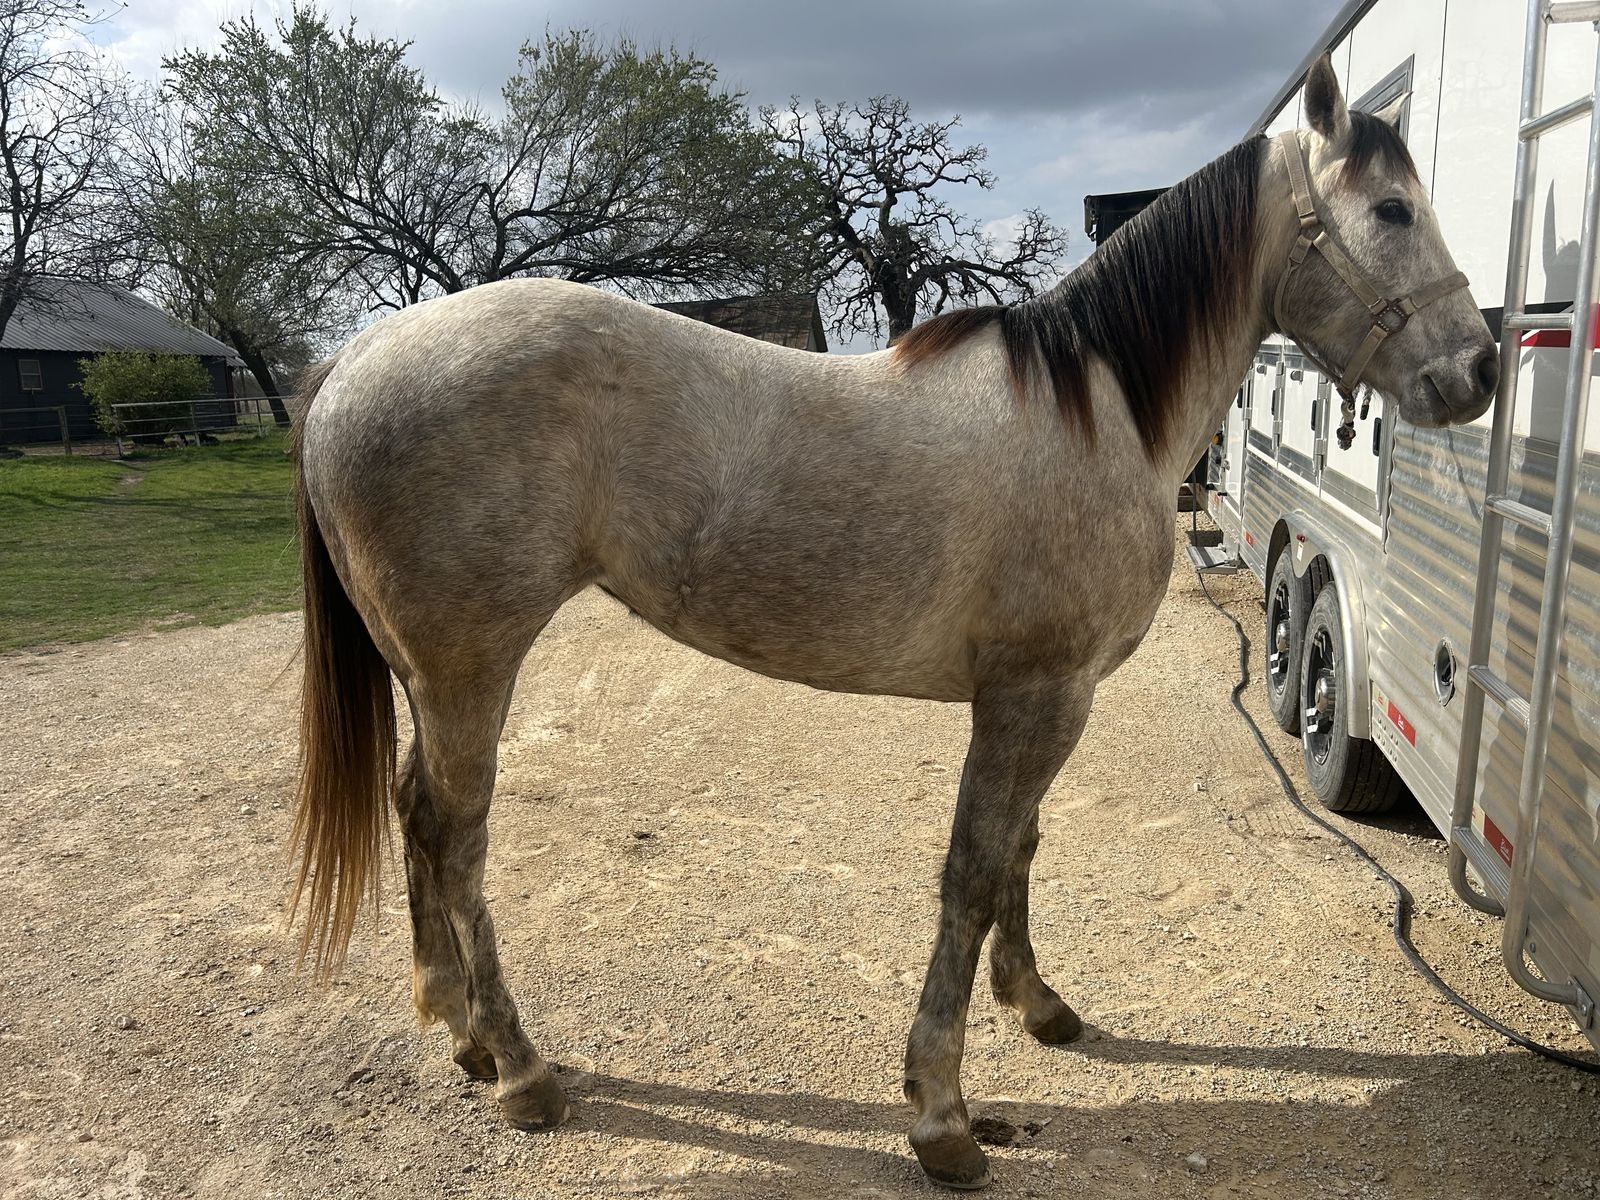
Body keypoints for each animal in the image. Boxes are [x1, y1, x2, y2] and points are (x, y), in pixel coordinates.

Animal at [288, 56, 1497, 1189]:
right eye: (1393, 211)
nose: (1478, 369)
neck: (1096, 408)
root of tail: (357, 355)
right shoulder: (1035, 695)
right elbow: (973, 871)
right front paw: (943, 1117)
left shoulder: (1046, 700)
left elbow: (1020, 849)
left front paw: (1038, 1005)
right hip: (470, 667)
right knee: (456, 836)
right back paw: (522, 1071)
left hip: (427, 673)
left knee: (413, 810)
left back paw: (459, 1033)